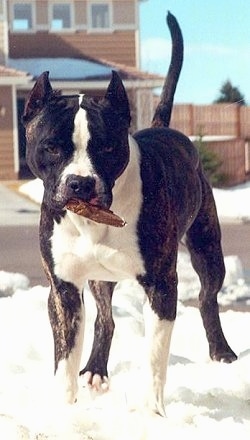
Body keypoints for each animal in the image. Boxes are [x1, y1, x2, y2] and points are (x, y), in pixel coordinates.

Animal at [23, 11, 236, 416]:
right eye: (51, 147)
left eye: (106, 147)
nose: (80, 184)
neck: (93, 220)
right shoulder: (63, 289)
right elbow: (64, 358)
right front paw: (65, 410)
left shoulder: (161, 285)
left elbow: (154, 356)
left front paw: (152, 413)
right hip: (99, 279)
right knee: (105, 320)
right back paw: (94, 370)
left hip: (208, 248)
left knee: (206, 297)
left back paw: (222, 352)